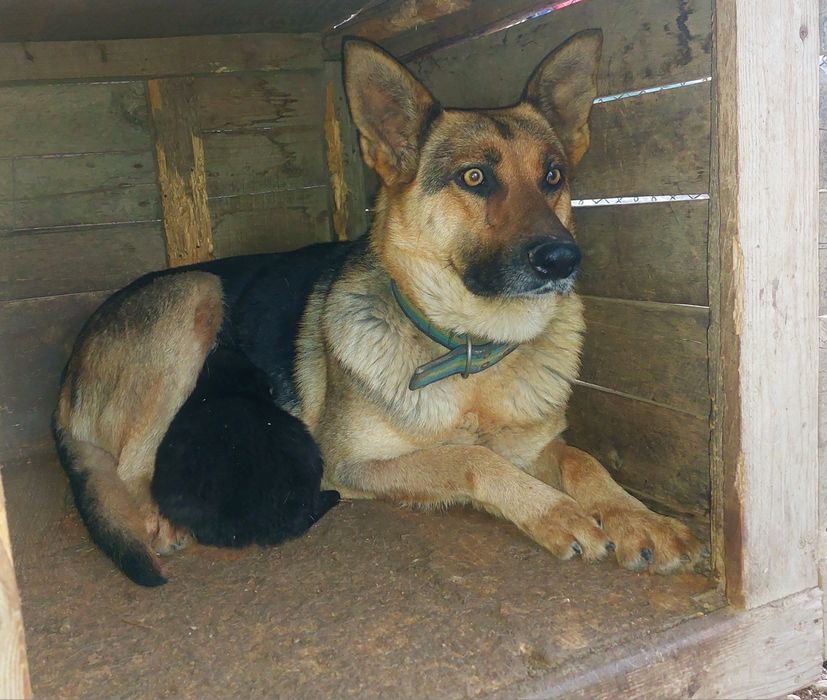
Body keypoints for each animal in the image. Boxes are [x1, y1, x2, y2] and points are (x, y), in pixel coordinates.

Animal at [53, 29, 702, 586]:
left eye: (553, 176)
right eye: (474, 178)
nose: (564, 260)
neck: (466, 352)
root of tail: (67, 377)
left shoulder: (532, 446)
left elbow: (583, 460)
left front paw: (639, 519)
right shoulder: (353, 466)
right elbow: (472, 460)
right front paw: (556, 513)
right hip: (196, 293)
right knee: (131, 468)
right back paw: (157, 521)